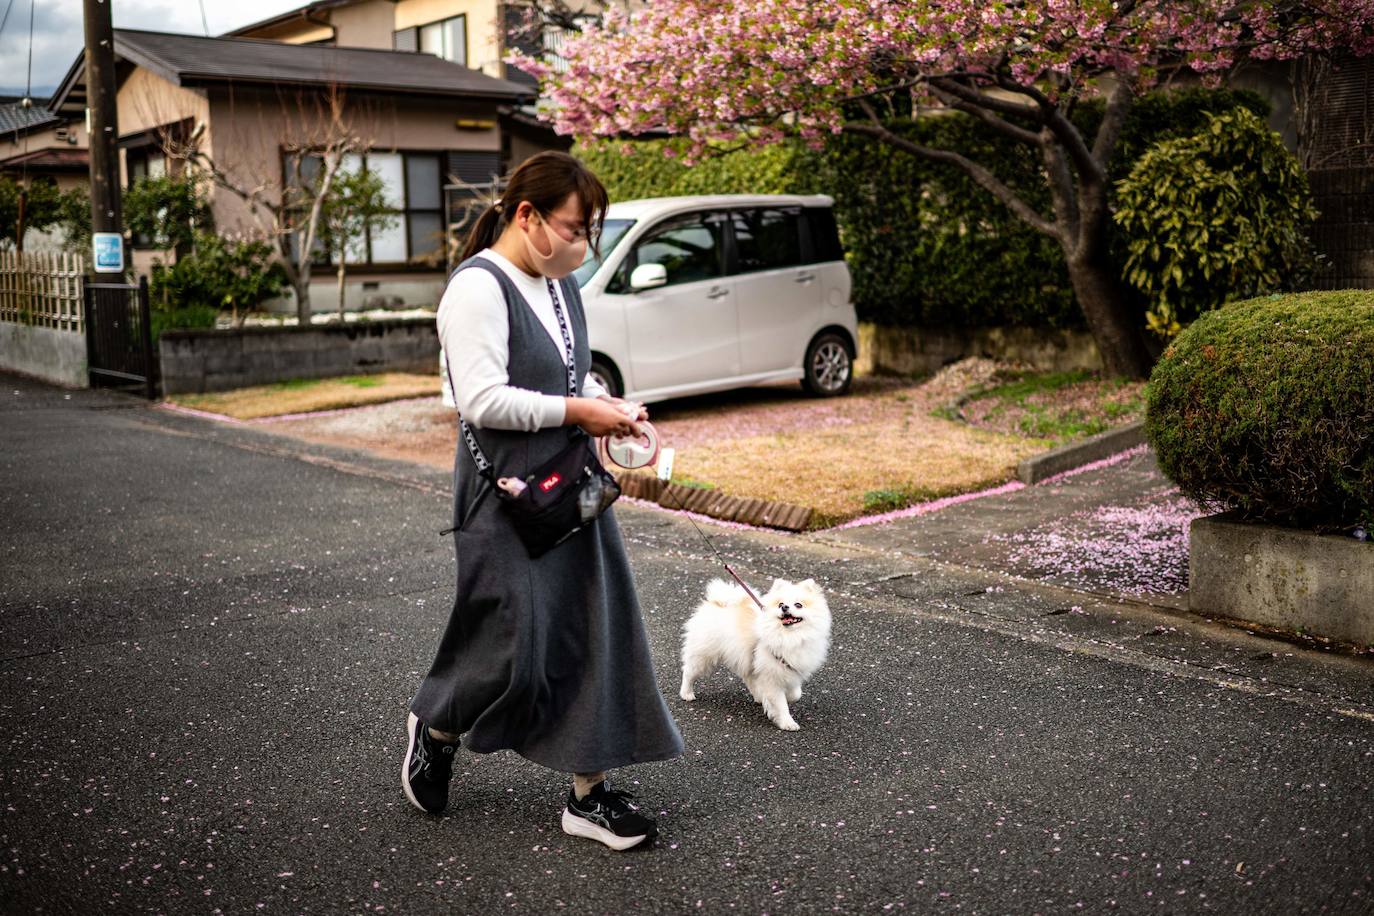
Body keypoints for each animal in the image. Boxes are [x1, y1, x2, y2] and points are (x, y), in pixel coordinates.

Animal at [676, 579, 824, 730]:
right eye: (780, 604)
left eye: (798, 605)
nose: (784, 607)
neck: (789, 637)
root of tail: (717, 602)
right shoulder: (771, 677)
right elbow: (781, 704)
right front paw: (787, 723)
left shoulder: (792, 669)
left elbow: (796, 694)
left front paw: (788, 697)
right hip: (704, 655)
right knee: (688, 672)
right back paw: (686, 693)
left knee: (749, 678)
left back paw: (759, 696)